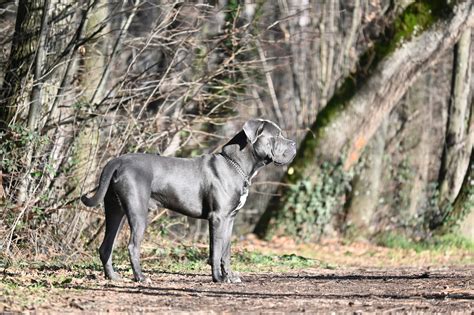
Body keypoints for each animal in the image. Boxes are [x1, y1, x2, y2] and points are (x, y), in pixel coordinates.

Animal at [81, 118, 296, 284]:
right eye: (276, 135)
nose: (293, 144)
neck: (236, 164)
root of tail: (117, 161)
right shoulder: (218, 218)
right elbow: (216, 250)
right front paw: (218, 278)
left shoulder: (230, 218)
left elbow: (226, 250)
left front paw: (230, 276)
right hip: (138, 213)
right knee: (133, 246)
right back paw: (141, 278)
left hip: (115, 211)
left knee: (106, 246)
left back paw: (113, 277)